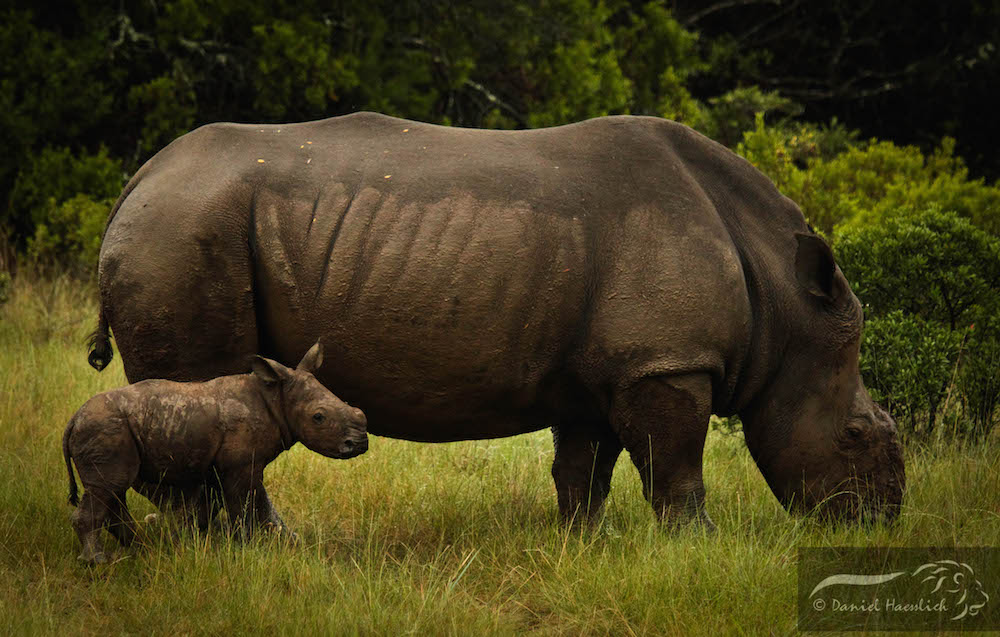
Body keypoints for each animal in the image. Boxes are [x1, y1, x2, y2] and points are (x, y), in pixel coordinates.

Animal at [59, 342, 364, 560]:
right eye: (318, 417)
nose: (360, 442)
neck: (276, 396)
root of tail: (73, 420)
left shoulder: (218, 464)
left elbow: (211, 506)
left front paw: (191, 541)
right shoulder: (241, 464)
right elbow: (243, 504)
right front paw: (247, 546)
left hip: (108, 430)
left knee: (113, 489)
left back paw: (139, 549)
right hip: (104, 429)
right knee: (108, 487)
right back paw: (99, 561)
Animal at [90, 113, 908, 528]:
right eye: (858, 436)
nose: (881, 524)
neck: (783, 303)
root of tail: (138, 179)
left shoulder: (607, 371)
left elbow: (585, 469)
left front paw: (583, 544)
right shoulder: (667, 361)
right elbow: (677, 467)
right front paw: (694, 547)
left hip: (177, 226)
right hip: (184, 230)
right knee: (204, 391)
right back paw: (252, 544)